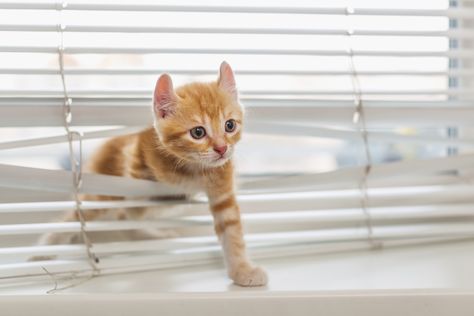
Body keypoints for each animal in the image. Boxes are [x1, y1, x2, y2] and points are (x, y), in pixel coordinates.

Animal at [37, 61, 266, 286]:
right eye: (198, 132)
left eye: (230, 125)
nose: (222, 149)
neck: (193, 168)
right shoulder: (135, 159)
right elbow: (129, 206)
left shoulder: (222, 188)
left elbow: (231, 230)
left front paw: (242, 270)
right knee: (88, 214)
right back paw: (45, 248)